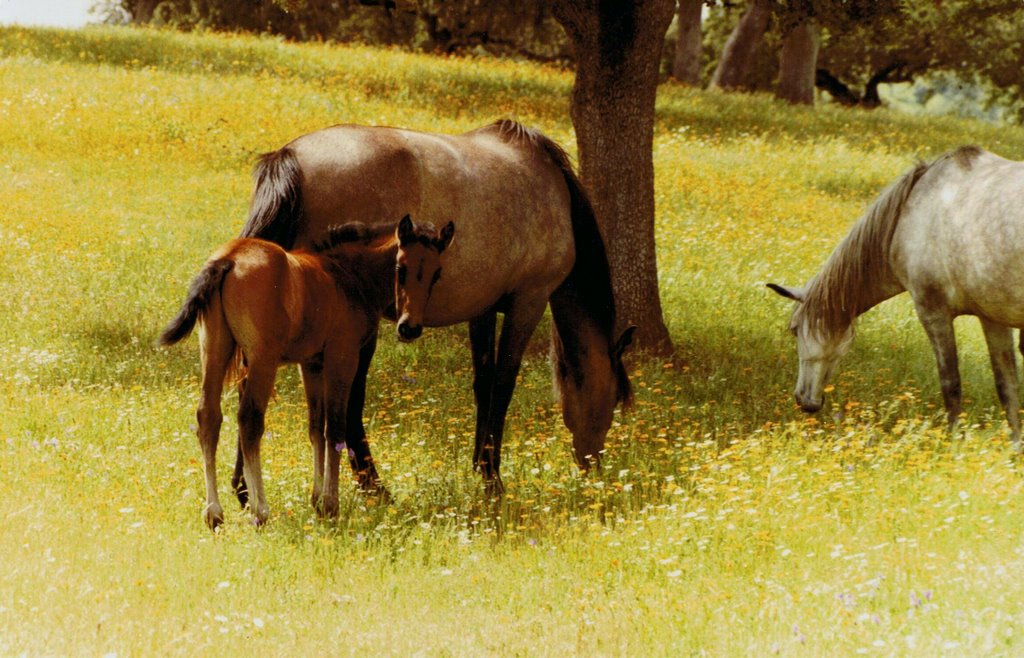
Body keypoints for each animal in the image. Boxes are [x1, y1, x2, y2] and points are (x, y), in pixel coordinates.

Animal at [158, 215, 452, 532]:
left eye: (437, 273)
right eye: (401, 268)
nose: (409, 328)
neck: (346, 277)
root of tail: (230, 258)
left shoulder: (311, 365)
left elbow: (315, 427)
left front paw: (317, 501)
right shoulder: (341, 358)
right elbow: (334, 428)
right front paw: (331, 504)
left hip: (214, 349)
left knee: (208, 417)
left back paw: (214, 514)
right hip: (262, 360)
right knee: (249, 421)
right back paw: (260, 511)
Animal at [241, 118, 630, 491]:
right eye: (613, 400)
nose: (593, 464)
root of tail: (290, 157)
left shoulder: (483, 308)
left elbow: (484, 384)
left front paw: (480, 465)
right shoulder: (529, 302)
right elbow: (503, 385)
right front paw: (493, 477)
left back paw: (244, 491)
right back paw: (373, 487)